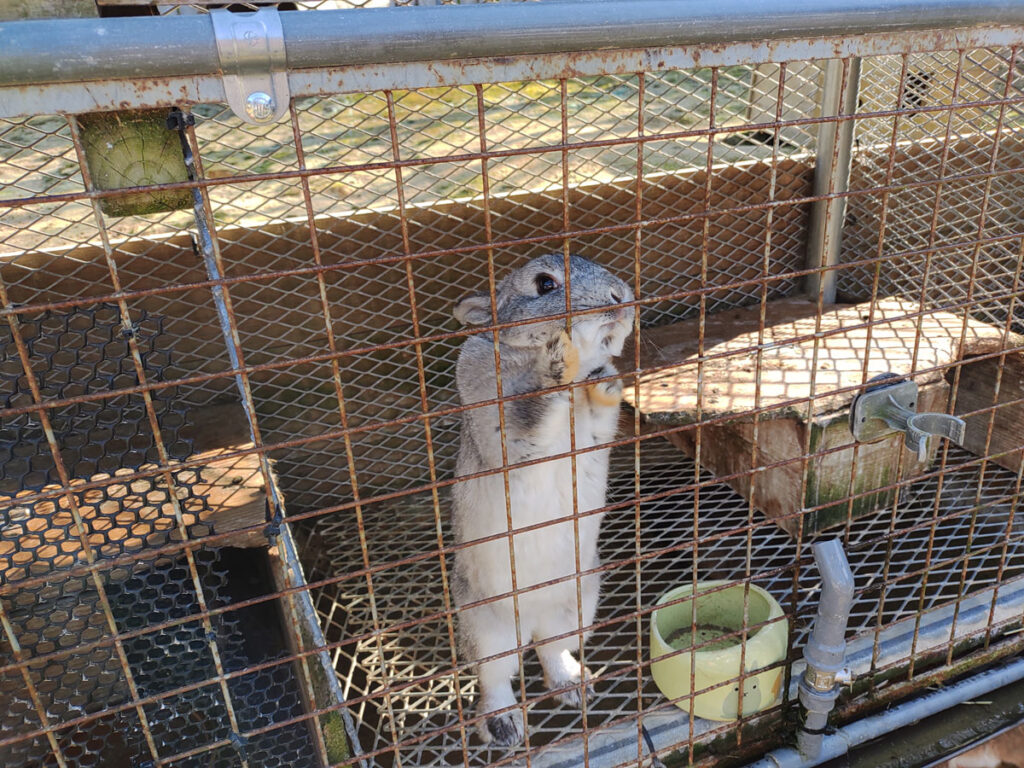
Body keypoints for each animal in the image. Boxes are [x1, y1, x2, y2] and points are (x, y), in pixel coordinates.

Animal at [450, 256, 630, 749]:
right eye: (545, 284)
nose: (620, 297)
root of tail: (530, 618)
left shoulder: (594, 433)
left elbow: (598, 414)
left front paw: (607, 380)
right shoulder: (503, 417)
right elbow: (535, 408)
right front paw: (560, 357)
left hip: (576, 605)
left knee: (551, 651)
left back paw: (574, 685)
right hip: (485, 626)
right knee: (495, 677)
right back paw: (503, 727)